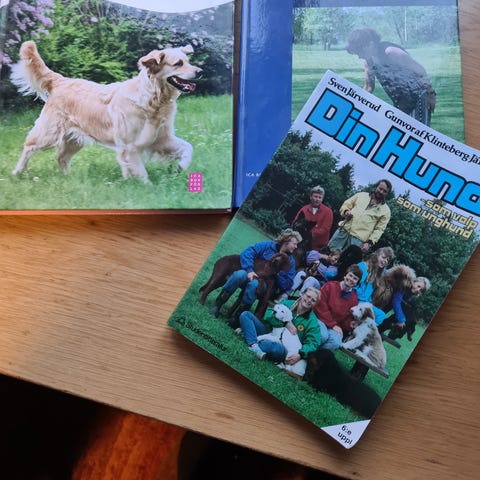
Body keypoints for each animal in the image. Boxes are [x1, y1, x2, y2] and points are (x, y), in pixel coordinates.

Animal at [10, 41, 202, 182]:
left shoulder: (160, 139)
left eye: (188, 61)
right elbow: (140, 172)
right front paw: (145, 187)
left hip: (74, 139)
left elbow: (188, 147)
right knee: (28, 146)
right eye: (178, 64)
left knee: (61, 157)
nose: (200, 71)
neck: (153, 98)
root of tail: (61, 80)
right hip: (49, 134)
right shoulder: (129, 146)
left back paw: (67, 177)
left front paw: (181, 167)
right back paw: (18, 172)